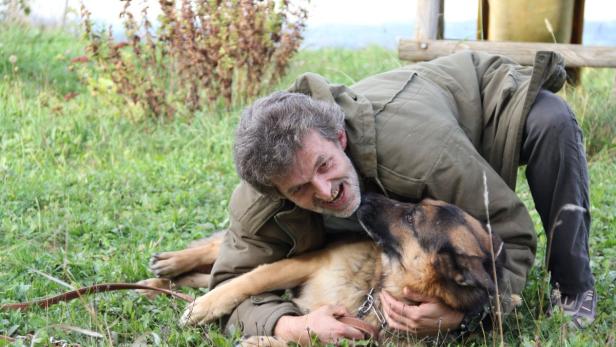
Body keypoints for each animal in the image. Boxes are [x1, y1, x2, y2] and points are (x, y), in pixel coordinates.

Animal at [140, 194, 506, 346]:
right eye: (416, 205)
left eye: (411, 217)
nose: (365, 196)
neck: (375, 291)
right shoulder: (304, 263)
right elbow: (247, 280)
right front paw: (203, 309)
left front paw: (263, 342)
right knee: (216, 254)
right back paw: (167, 266)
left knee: (204, 275)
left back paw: (163, 282)